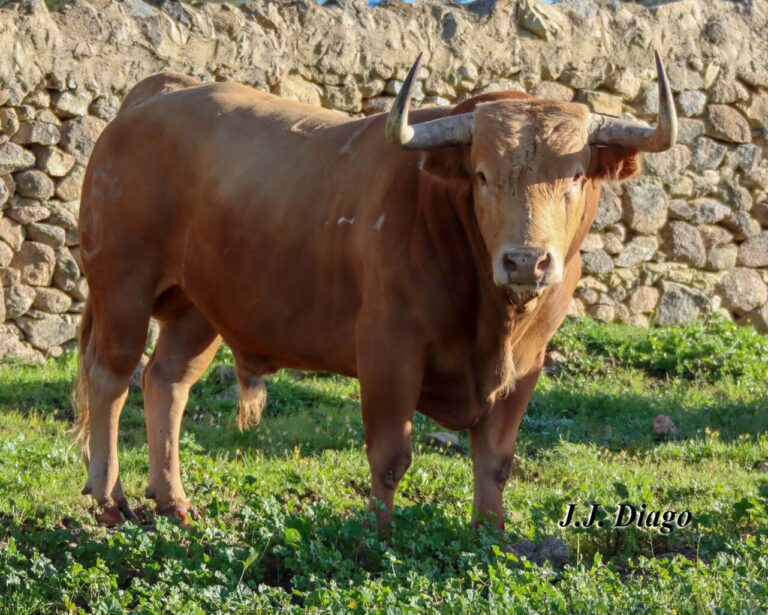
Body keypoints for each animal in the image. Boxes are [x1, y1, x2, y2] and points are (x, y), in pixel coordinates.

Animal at [73, 51, 677, 528]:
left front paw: (490, 534)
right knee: (112, 380)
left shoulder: (525, 366)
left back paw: (173, 501)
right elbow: (390, 456)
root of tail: (157, 95)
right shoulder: (390, 349)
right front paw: (377, 535)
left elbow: (495, 460)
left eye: (574, 175)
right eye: (482, 174)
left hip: (199, 308)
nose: (526, 260)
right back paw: (109, 499)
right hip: (122, 287)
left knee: (166, 381)